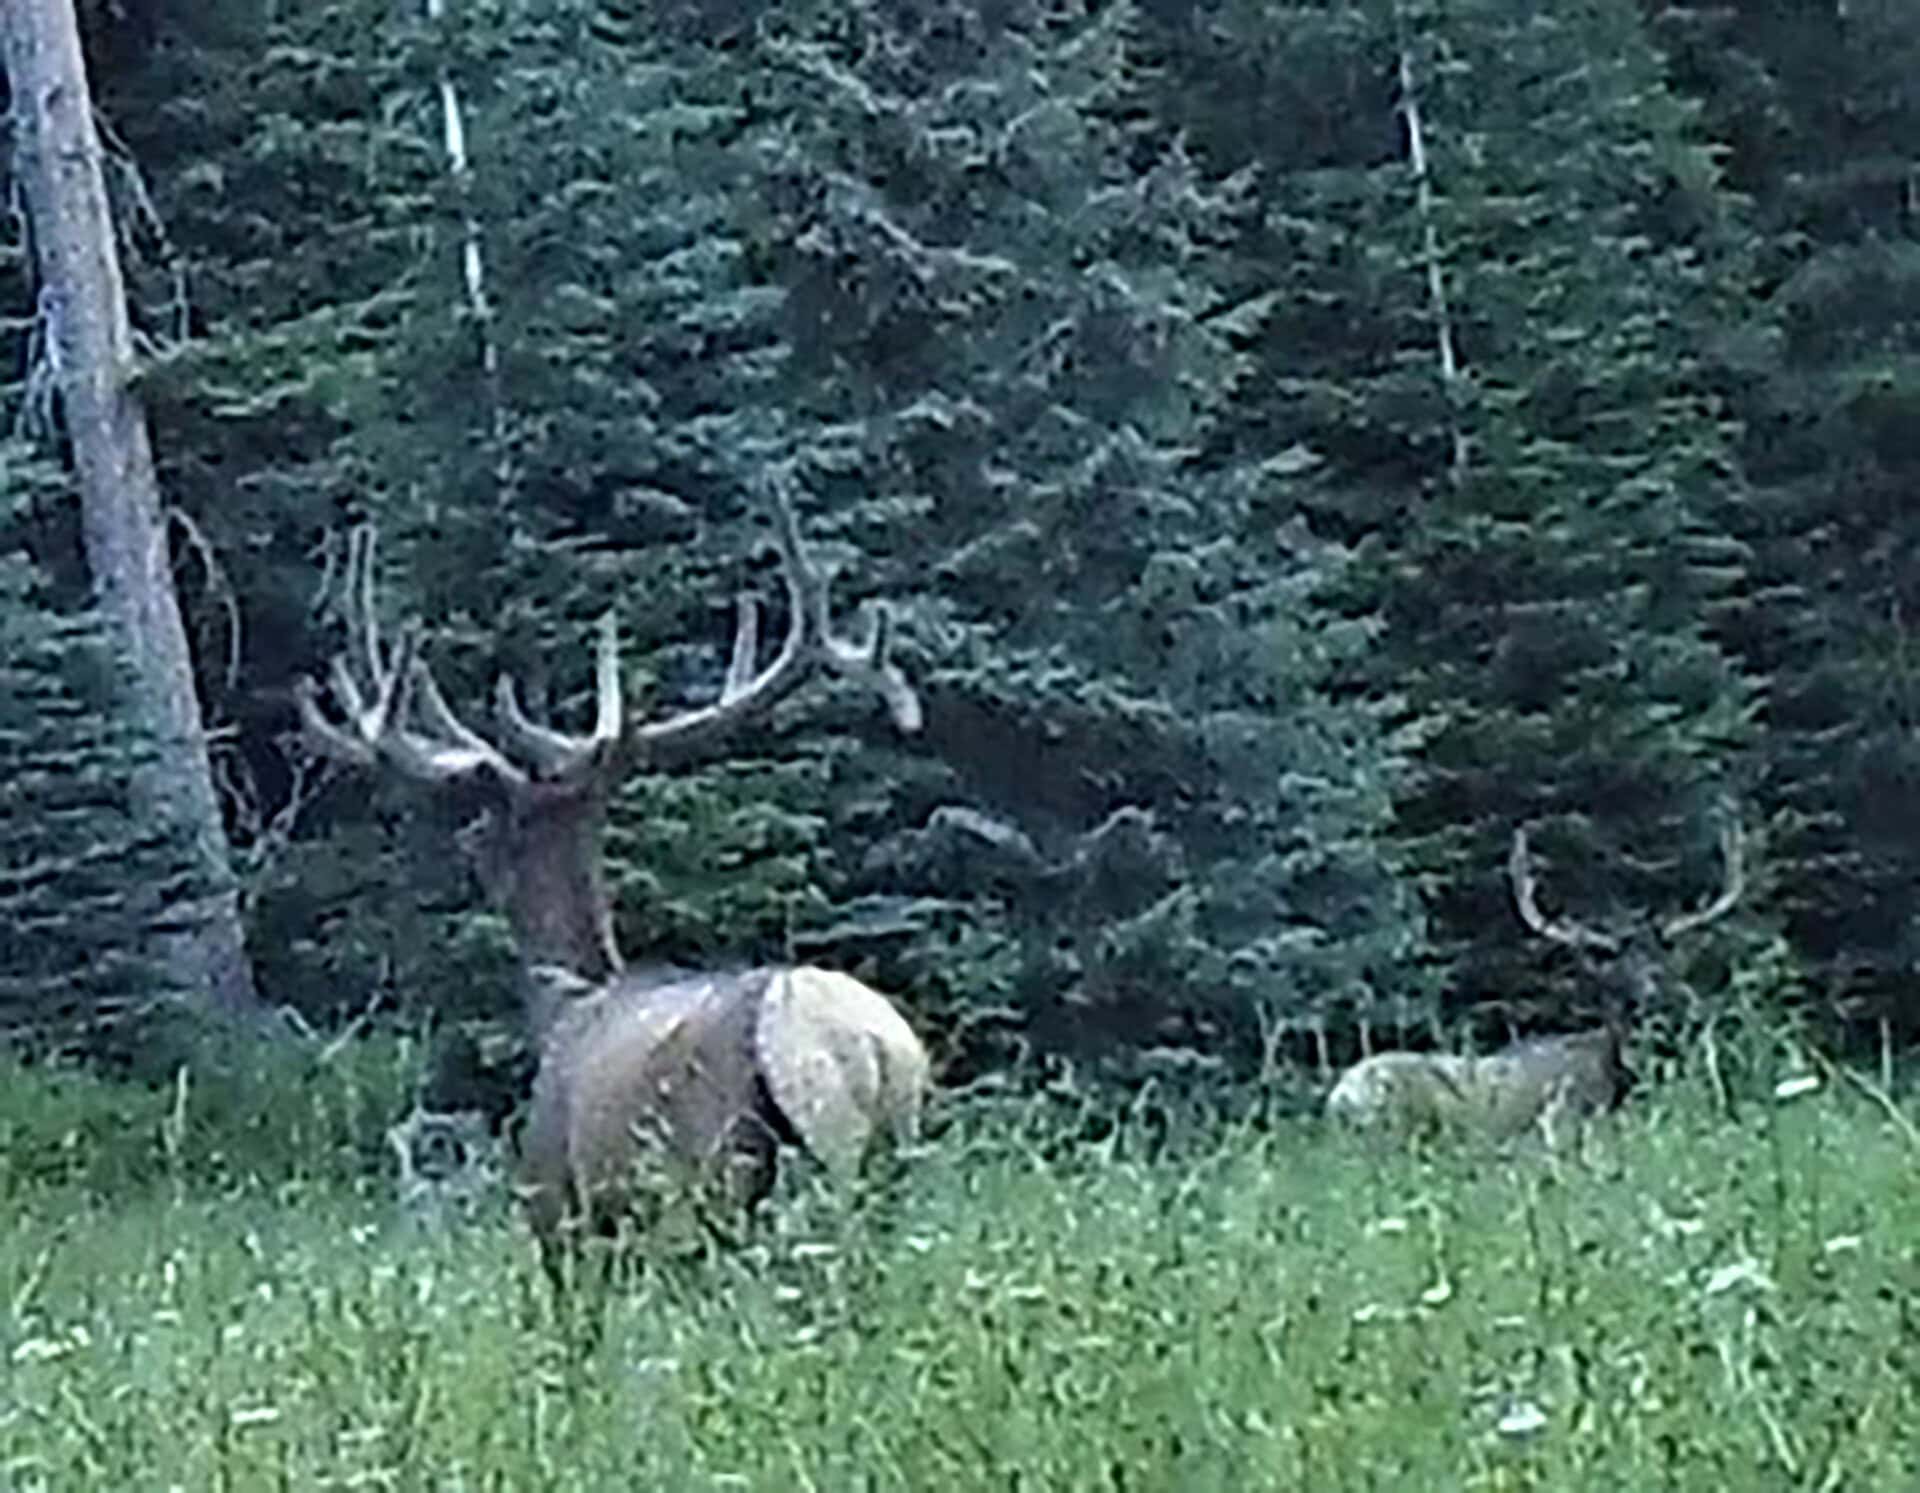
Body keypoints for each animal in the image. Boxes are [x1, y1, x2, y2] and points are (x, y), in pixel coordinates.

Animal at [295, 478, 932, 1271]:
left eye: (491, 830)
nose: (465, 848)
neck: (566, 1005)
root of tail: (869, 1050)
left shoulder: (558, 1206)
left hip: (723, 1165)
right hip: (890, 1161)